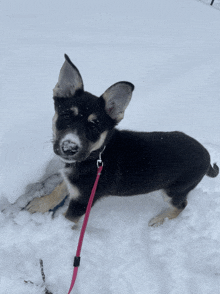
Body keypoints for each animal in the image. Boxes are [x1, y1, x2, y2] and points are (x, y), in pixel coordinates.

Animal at [26, 54, 219, 226]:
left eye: (94, 127)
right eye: (66, 115)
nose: (69, 148)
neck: (97, 154)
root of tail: (207, 156)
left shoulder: (83, 199)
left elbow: (67, 219)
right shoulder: (76, 182)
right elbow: (59, 187)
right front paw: (40, 204)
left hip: (174, 190)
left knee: (181, 205)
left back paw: (159, 220)